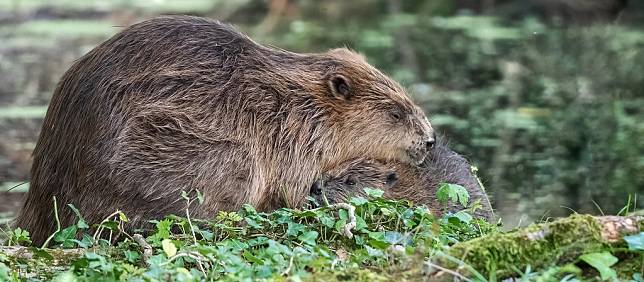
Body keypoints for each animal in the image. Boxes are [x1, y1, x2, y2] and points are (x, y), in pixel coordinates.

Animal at [16, 16, 438, 245]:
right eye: (397, 113)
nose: (431, 140)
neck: (300, 102)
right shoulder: (295, 139)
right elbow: (295, 190)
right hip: (223, 157)